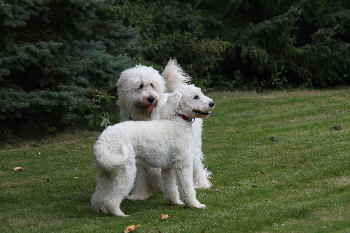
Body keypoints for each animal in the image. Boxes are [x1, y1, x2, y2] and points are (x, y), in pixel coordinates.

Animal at [90, 84, 215, 217]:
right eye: (196, 97)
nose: (212, 103)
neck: (178, 122)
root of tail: (103, 140)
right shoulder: (183, 165)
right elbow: (187, 188)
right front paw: (195, 205)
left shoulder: (168, 168)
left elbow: (171, 187)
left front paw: (175, 202)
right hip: (125, 172)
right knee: (111, 199)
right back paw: (119, 214)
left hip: (106, 172)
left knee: (99, 196)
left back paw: (100, 209)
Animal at [116, 59, 212, 200]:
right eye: (140, 86)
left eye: (152, 85)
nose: (151, 98)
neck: (145, 116)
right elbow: (141, 174)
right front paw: (140, 195)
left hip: (192, 145)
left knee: (197, 163)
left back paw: (201, 183)